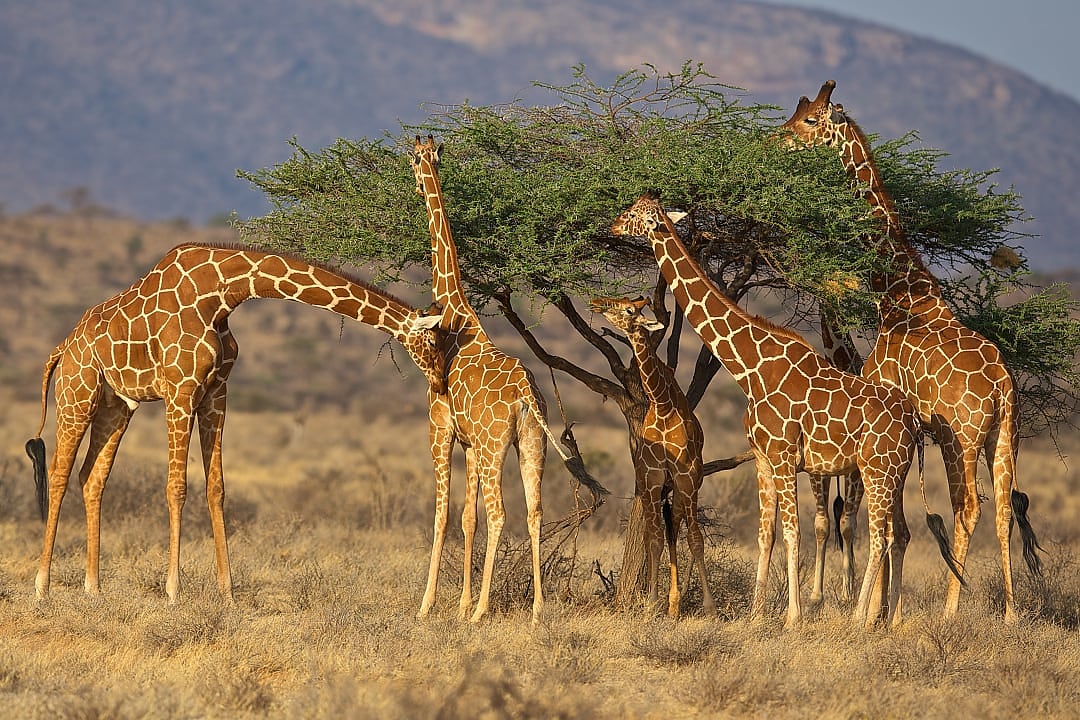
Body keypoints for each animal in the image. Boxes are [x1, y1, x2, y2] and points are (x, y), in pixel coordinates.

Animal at [25, 243, 446, 604]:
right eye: (432, 343)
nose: (441, 381)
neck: (223, 292)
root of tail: (62, 347)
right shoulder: (180, 391)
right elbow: (176, 487)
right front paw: (173, 591)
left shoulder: (216, 392)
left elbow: (217, 488)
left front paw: (227, 593)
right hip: (78, 394)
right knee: (59, 473)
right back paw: (42, 586)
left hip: (117, 406)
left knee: (91, 477)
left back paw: (93, 588)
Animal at [408, 135, 603, 624]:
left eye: (413, 159)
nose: (416, 182)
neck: (456, 315)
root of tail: (526, 397)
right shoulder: (471, 443)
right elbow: (467, 518)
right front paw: (459, 604)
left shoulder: (442, 430)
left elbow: (444, 516)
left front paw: (430, 605)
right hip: (532, 442)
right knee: (534, 511)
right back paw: (536, 608)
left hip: (499, 444)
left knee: (501, 515)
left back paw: (483, 610)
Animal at [590, 295, 715, 616]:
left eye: (629, 309)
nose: (596, 302)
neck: (662, 405)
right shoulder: (651, 478)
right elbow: (655, 540)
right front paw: (650, 603)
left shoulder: (687, 479)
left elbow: (695, 540)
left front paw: (710, 607)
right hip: (656, 489)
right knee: (660, 533)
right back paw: (670, 603)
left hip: (683, 489)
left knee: (677, 530)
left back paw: (677, 603)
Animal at [611, 191, 929, 629]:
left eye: (636, 214)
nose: (612, 225)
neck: (749, 368)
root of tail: (914, 422)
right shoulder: (762, 459)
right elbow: (767, 534)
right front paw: (757, 614)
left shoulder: (783, 457)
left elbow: (794, 533)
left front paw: (793, 617)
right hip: (894, 473)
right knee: (899, 533)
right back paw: (889, 618)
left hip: (877, 470)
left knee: (880, 535)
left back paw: (858, 618)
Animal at [778, 80, 1042, 623]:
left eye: (811, 120)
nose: (775, 140)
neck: (898, 295)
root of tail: (1001, 389)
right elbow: (895, 524)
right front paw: (884, 610)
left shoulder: (891, 413)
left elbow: (889, 523)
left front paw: (878, 612)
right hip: (1004, 436)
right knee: (1005, 508)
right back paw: (1008, 612)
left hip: (960, 439)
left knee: (969, 508)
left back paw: (950, 610)